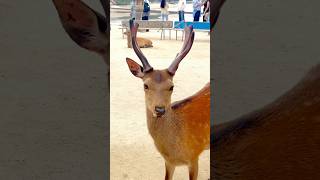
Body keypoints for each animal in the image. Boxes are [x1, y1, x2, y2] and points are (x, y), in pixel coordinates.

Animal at [125, 19, 210, 180]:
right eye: (145, 85)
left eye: (172, 86)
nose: (159, 109)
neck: (173, 152)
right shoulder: (169, 162)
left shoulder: (194, 157)